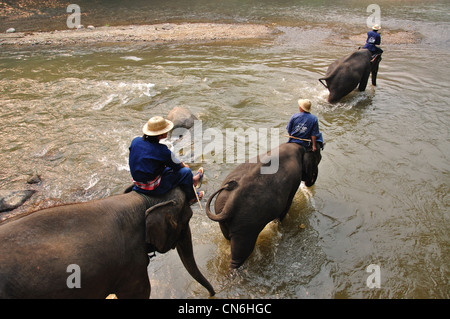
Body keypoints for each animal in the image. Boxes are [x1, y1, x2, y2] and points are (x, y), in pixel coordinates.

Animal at [206, 142, 322, 270]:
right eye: (319, 158)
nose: (309, 183)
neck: (298, 146)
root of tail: (228, 207)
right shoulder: (294, 182)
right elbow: (286, 206)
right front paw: (279, 224)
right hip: (245, 226)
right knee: (241, 253)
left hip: (221, 211)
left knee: (227, 239)